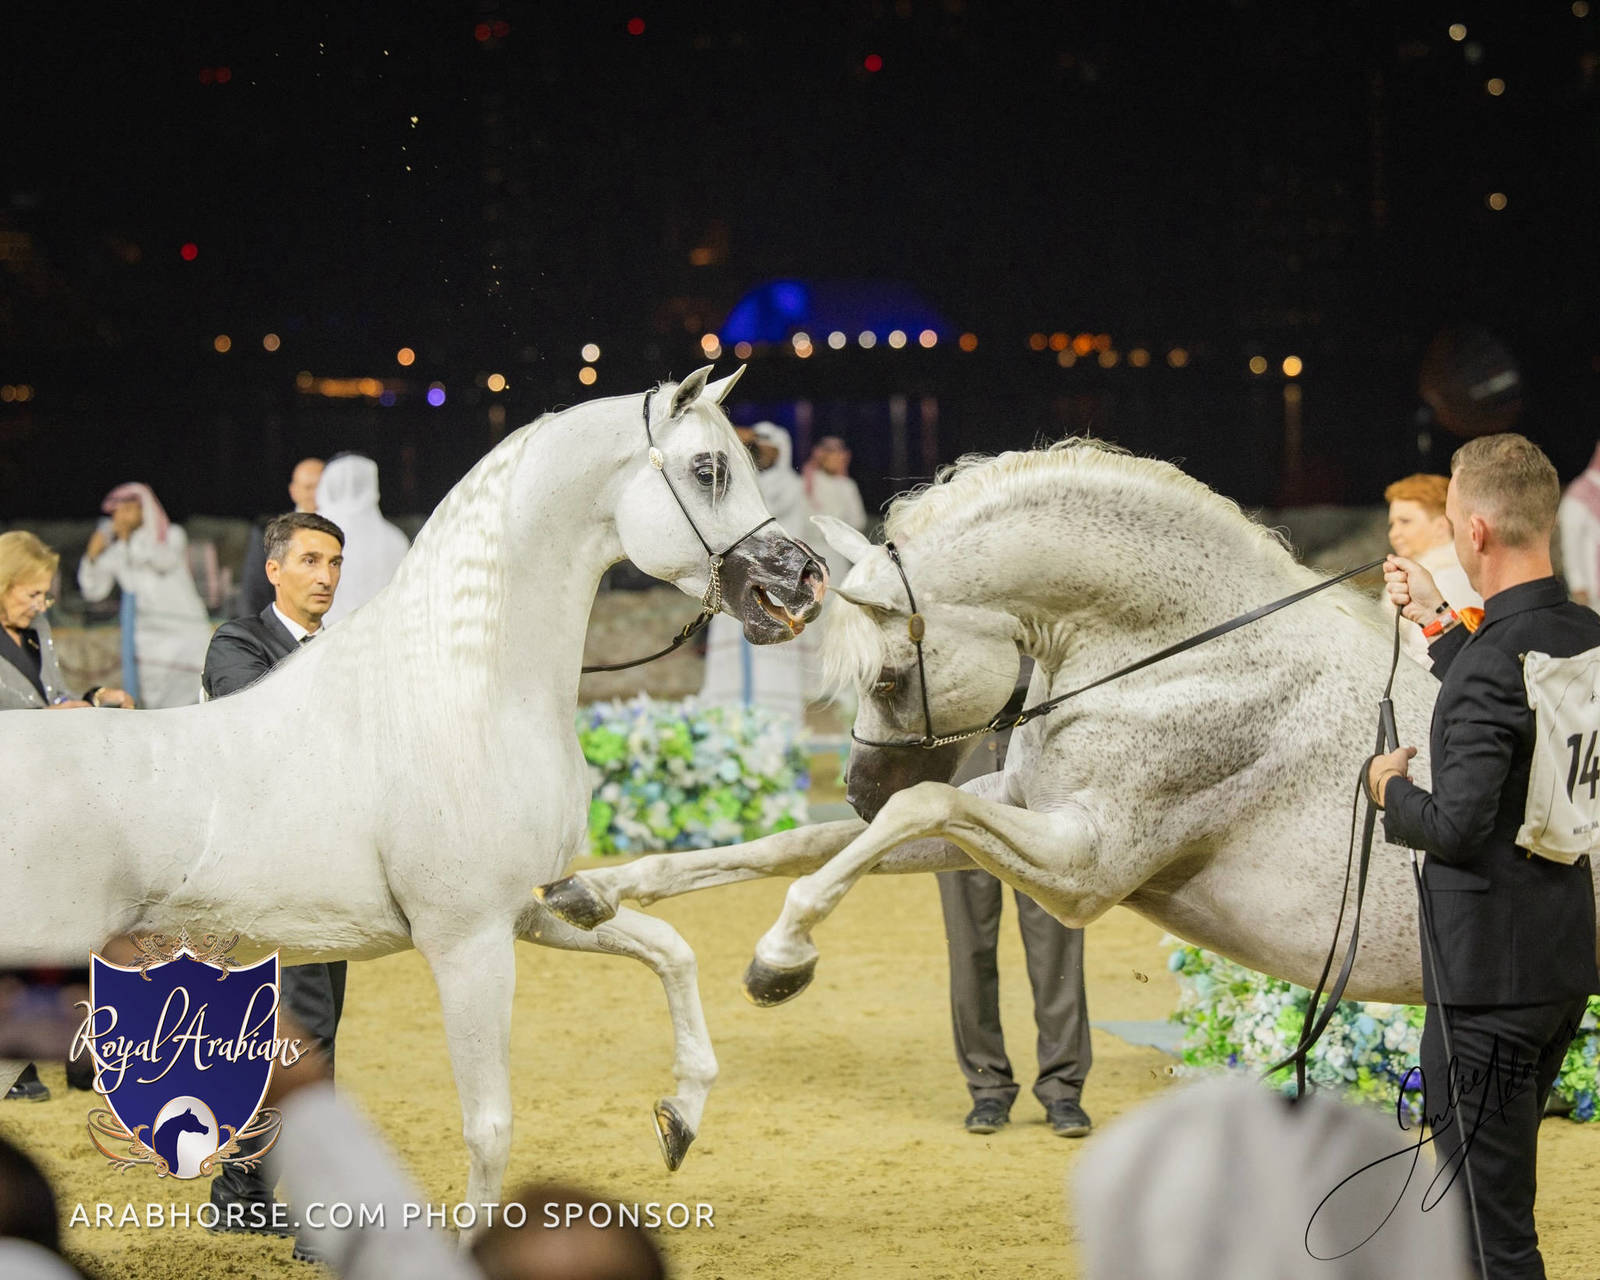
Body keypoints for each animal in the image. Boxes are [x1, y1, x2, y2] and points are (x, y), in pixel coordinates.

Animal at [0, 366, 826, 1214]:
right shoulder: (467, 942)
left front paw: (680, 1117)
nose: (801, 584)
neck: (470, 694)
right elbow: (490, 1127)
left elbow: (670, 950)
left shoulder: (532, 907)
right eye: (708, 469)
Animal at [536, 439, 1600, 1009]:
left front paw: (779, 958)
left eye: (890, 676)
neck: (1179, 658)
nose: (857, 784)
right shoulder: (1014, 807)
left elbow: (913, 811)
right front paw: (597, 890)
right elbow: (799, 843)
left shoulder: (1082, 867)